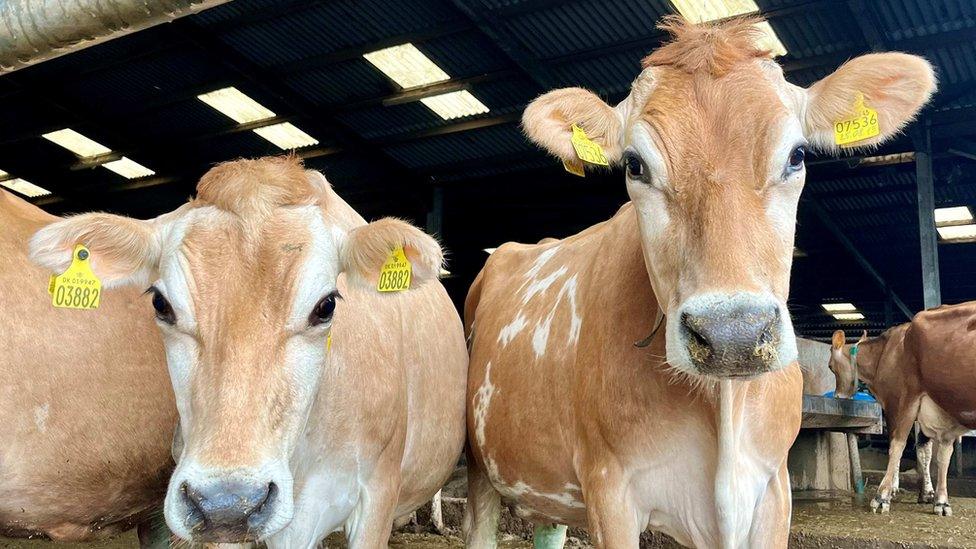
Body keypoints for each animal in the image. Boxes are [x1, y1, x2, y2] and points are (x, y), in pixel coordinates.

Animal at [466, 16, 936, 548]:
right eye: (635, 164)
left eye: (796, 155)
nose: (733, 335)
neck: (724, 407)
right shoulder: (610, 491)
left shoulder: (774, 490)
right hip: (481, 467)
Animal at [832, 304, 976, 512]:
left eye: (830, 367)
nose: (837, 396)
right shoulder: (938, 410)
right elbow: (934, 452)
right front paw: (933, 496)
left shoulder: (900, 400)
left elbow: (897, 445)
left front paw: (885, 493)